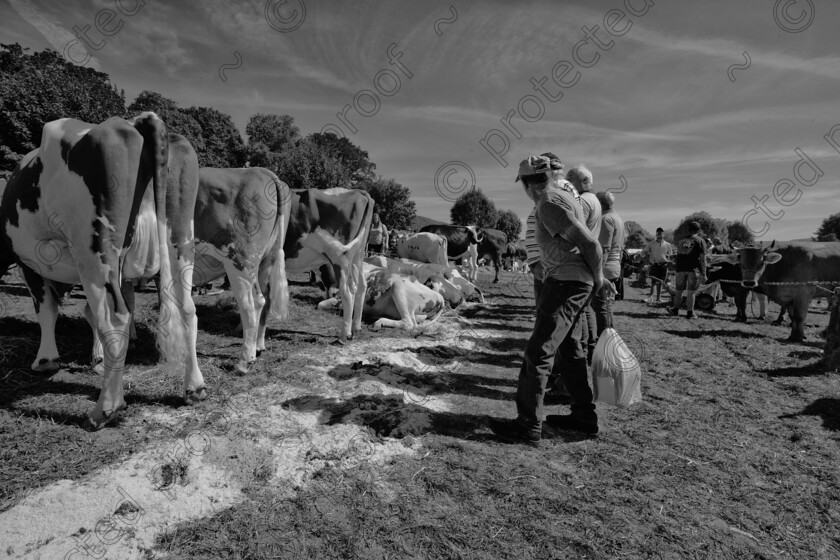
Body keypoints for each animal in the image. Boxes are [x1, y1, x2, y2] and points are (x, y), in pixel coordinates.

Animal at [0, 112, 205, 428]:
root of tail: (138, 120)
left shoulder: (28, 263)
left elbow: (47, 311)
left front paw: (46, 360)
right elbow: (91, 313)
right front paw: (96, 359)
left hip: (95, 250)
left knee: (114, 316)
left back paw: (107, 408)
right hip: (180, 237)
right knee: (187, 309)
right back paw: (194, 387)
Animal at [278, 187, 374, 342]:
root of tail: (359, 191)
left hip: (340, 256)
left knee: (348, 291)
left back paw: (344, 335)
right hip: (358, 255)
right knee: (361, 286)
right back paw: (356, 328)